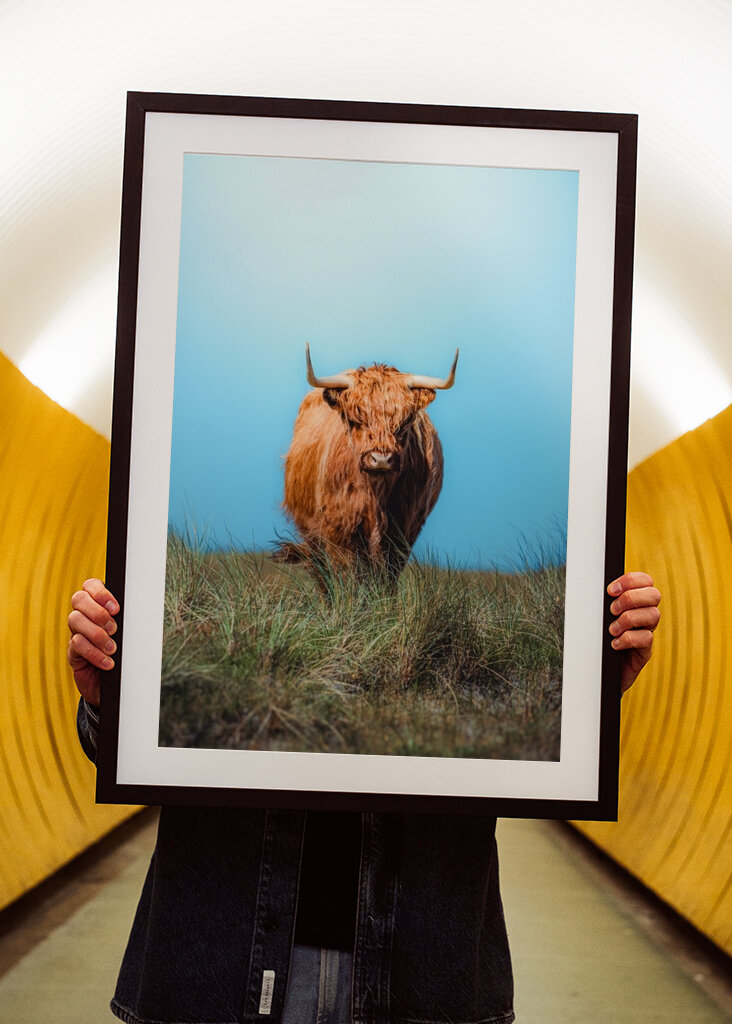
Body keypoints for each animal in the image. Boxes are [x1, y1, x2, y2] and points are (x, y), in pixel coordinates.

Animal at [277, 344, 458, 580]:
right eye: (356, 420)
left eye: (405, 422)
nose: (381, 459)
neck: (376, 494)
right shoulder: (338, 528)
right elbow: (346, 575)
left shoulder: (403, 530)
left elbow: (386, 576)